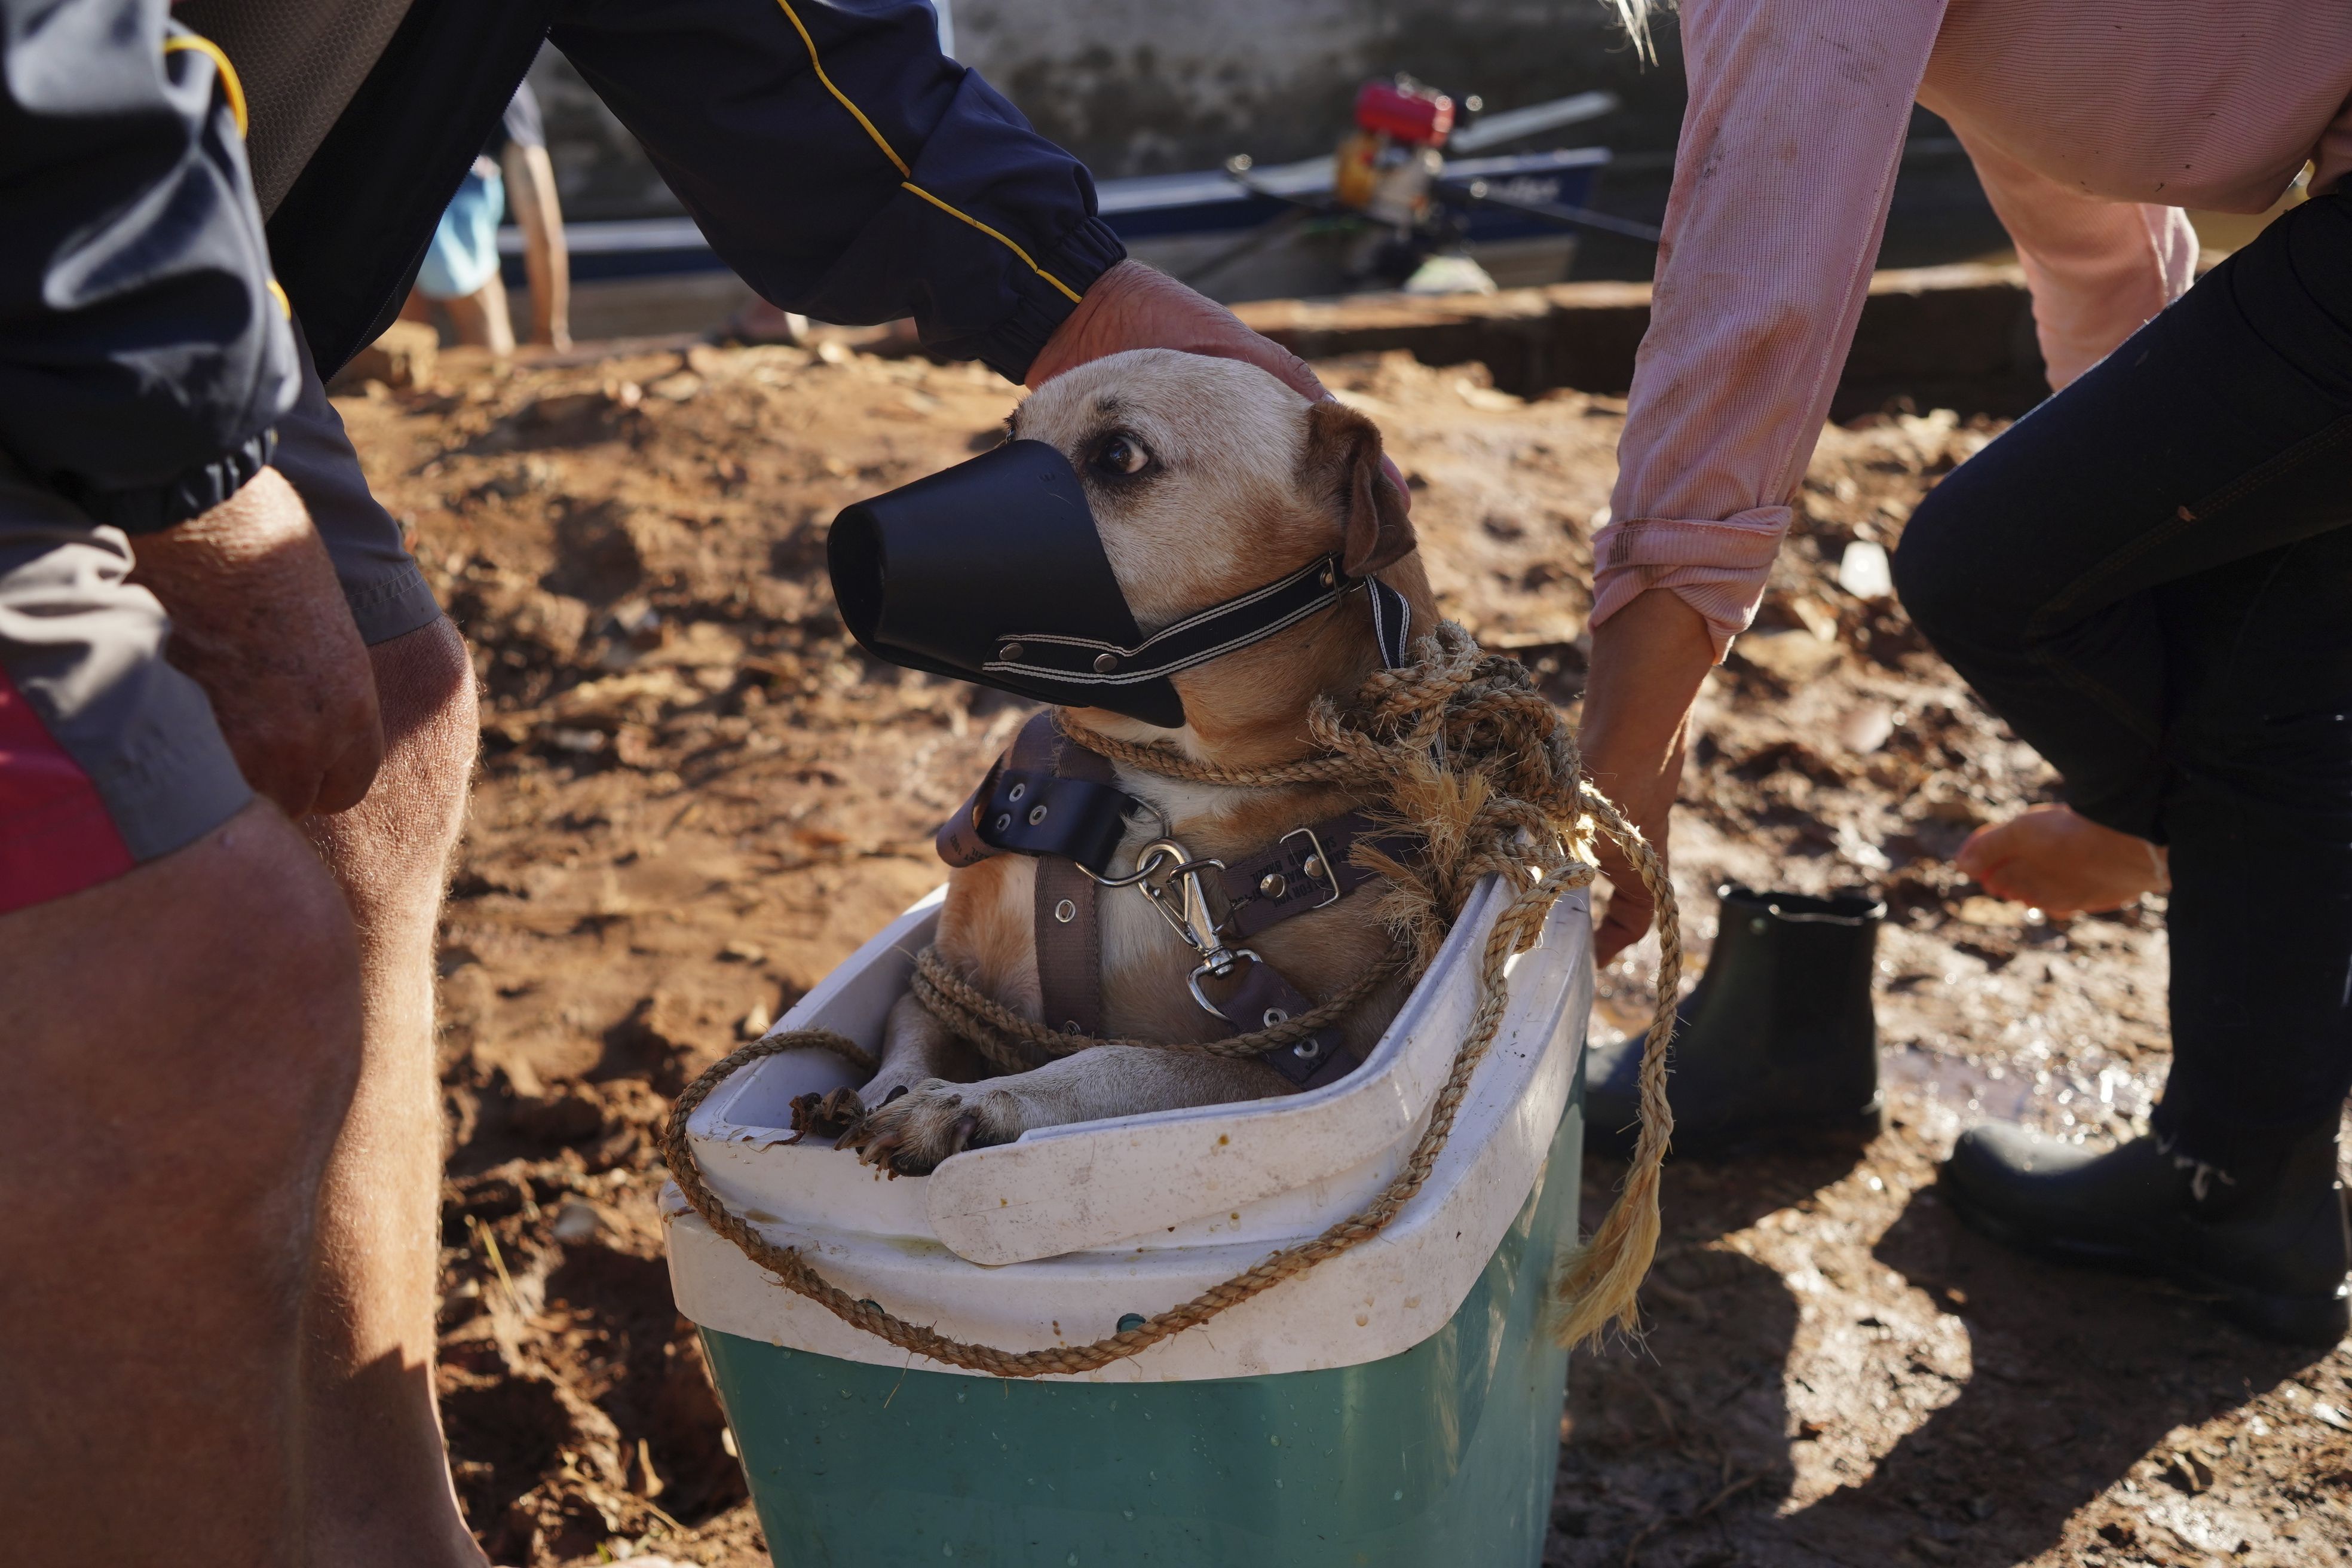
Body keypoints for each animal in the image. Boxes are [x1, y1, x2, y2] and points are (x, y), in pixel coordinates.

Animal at [846, 350, 1430, 1171]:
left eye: (1120, 454)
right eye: (1011, 432)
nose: (852, 542)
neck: (1162, 777)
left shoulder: (1308, 1065)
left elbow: (1120, 1060)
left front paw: (979, 1101)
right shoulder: (948, 976)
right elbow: (915, 1021)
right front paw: (888, 1089)